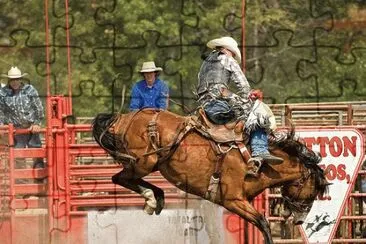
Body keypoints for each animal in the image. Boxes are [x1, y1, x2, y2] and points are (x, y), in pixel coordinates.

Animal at [91, 109, 328, 244]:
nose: (300, 220)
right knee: (119, 179)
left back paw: (156, 198)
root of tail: (121, 119)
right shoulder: (233, 200)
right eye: (313, 191)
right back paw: (151, 197)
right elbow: (263, 222)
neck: (260, 162)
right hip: (144, 163)